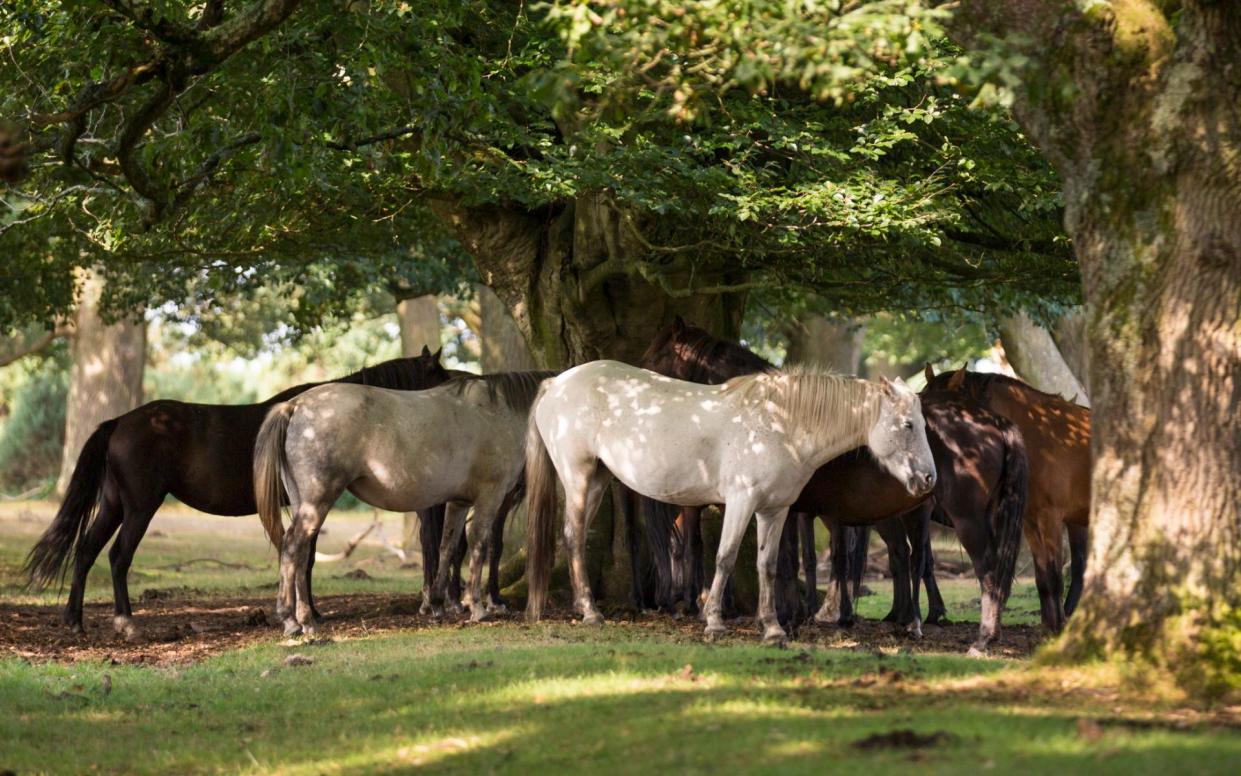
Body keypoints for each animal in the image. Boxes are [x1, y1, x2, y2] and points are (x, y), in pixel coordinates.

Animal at [22, 347, 461, 633]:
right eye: (440, 377)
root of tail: (119, 422)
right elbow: (304, 557)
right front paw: (307, 615)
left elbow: (303, 558)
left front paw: (308, 613)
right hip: (140, 508)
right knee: (117, 557)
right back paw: (126, 623)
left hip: (114, 505)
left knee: (85, 551)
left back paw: (75, 622)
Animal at [251, 372, 548, 633]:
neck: (498, 412)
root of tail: (294, 406)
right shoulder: (491, 495)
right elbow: (479, 545)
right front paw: (477, 606)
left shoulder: (459, 502)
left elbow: (448, 546)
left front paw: (437, 604)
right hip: (317, 502)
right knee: (293, 548)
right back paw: (296, 620)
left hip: (304, 503)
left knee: (300, 553)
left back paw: (301, 619)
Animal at [518, 357, 933, 640]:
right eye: (908, 425)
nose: (929, 478)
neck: (780, 424)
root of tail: (558, 382)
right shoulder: (741, 502)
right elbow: (726, 557)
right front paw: (714, 620)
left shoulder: (774, 510)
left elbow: (767, 564)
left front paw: (772, 629)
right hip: (578, 477)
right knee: (573, 537)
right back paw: (590, 612)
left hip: (598, 480)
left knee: (574, 538)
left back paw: (582, 605)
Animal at [923, 365, 1087, 630]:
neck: (1039, 436)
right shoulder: (1031, 521)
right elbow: (1043, 580)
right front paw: (1050, 629)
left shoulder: (1051, 518)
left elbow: (1054, 577)